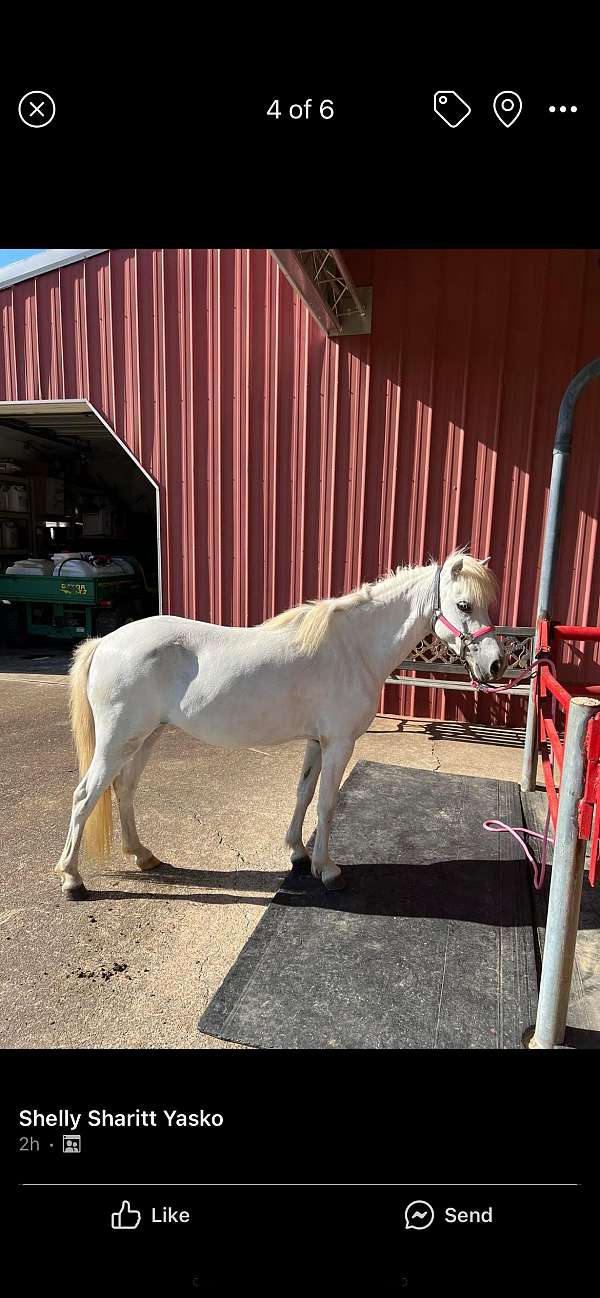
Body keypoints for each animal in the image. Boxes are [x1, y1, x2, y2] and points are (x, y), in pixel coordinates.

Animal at [55, 549, 504, 898]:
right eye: (464, 605)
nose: (496, 665)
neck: (352, 649)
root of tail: (106, 642)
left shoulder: (317, 741)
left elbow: (304, 794)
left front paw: (298, 853)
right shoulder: (339, 743)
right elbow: (327, 802)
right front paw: (328, 870)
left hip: (146, 736)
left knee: (124, 789)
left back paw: (143, 855)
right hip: (117, 741)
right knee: (85, 796)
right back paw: (72, 880)